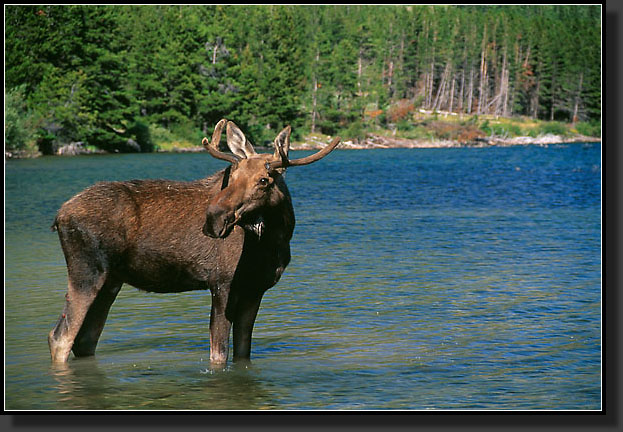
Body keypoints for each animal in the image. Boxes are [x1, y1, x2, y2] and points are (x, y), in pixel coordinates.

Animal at [48, 119, 342, 364]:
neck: (273, 242)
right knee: (60, 337)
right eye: (231, 175)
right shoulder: (221, 284)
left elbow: (243, 352)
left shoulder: (256, 289)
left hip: (111, 281)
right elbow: (218, 354)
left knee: (84, 340)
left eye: (263, 180)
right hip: (87, 272)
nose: (213, 218)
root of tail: (59, 215)